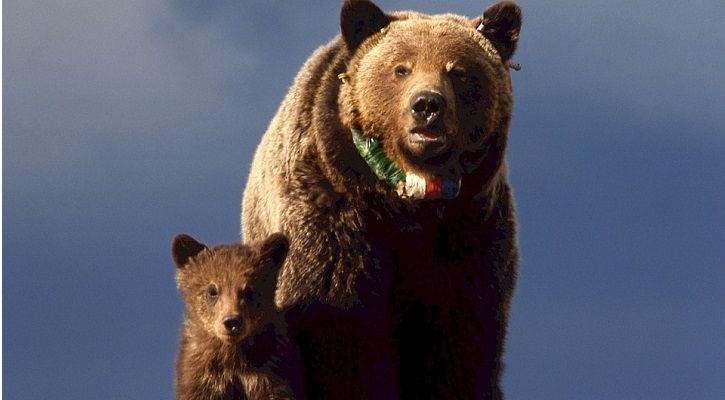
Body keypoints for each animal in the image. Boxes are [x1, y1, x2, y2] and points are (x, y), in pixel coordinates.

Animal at [241, 1, 521, 399]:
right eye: (401, 68)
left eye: (459, 71)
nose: (427, 105)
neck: (405, 202)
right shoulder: (333, 222)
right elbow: (342, 332)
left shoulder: (468, 237)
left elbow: (459, 343)